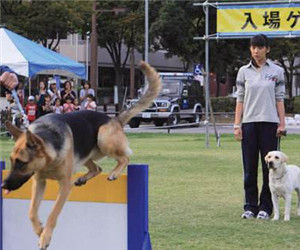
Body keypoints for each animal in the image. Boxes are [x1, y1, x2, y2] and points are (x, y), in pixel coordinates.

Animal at [1, 61, 162, 250]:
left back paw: (114, 173)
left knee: (125, 158)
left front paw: (45, 236)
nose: (3, 185)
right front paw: (39, 229)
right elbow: (31, 211)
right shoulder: (39, 182)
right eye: (12, 161)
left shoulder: (64, 186)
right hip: (85, 153)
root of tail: (114, 119)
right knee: (97, 168)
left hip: (103, 138)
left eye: (21, 163)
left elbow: (53, 213)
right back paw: (84, 178)